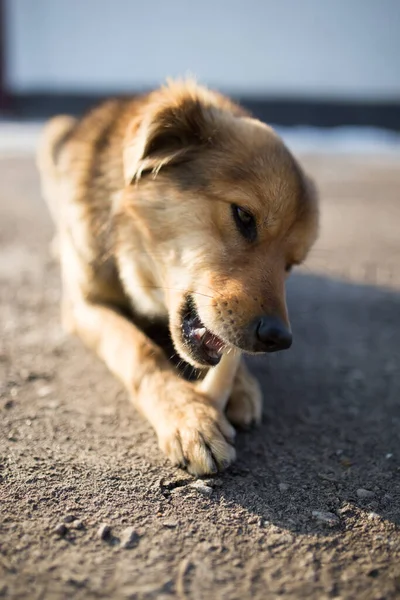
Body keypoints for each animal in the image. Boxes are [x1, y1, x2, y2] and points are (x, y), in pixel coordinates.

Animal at [37, 79, 318, 476]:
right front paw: (188, 416)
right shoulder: (83, 305)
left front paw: (242, 385)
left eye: (291, 264)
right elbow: (139, 350)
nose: (278, 338)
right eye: (244, 216)